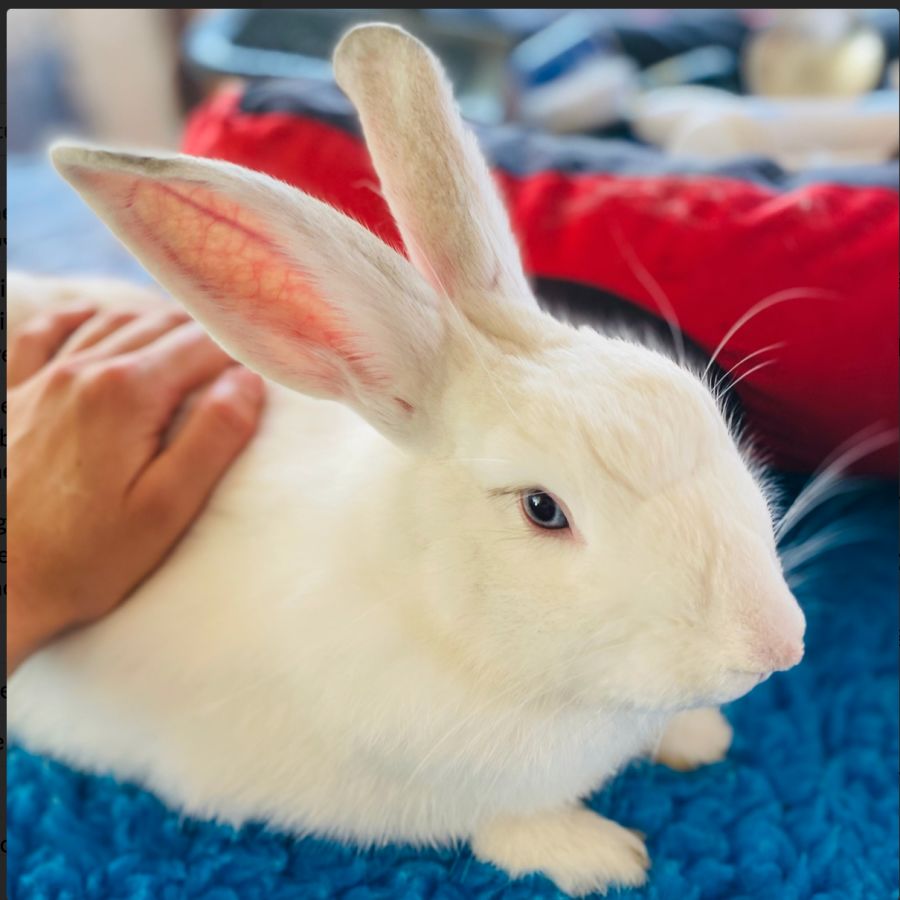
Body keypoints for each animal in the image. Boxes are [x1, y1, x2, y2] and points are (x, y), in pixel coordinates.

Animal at [8, 24, 806, 897]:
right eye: (542, 509)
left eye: (697, 407)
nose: (779, 647)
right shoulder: (455, 791)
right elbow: (515, 825)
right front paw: (604, 858)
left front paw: (699, 737)